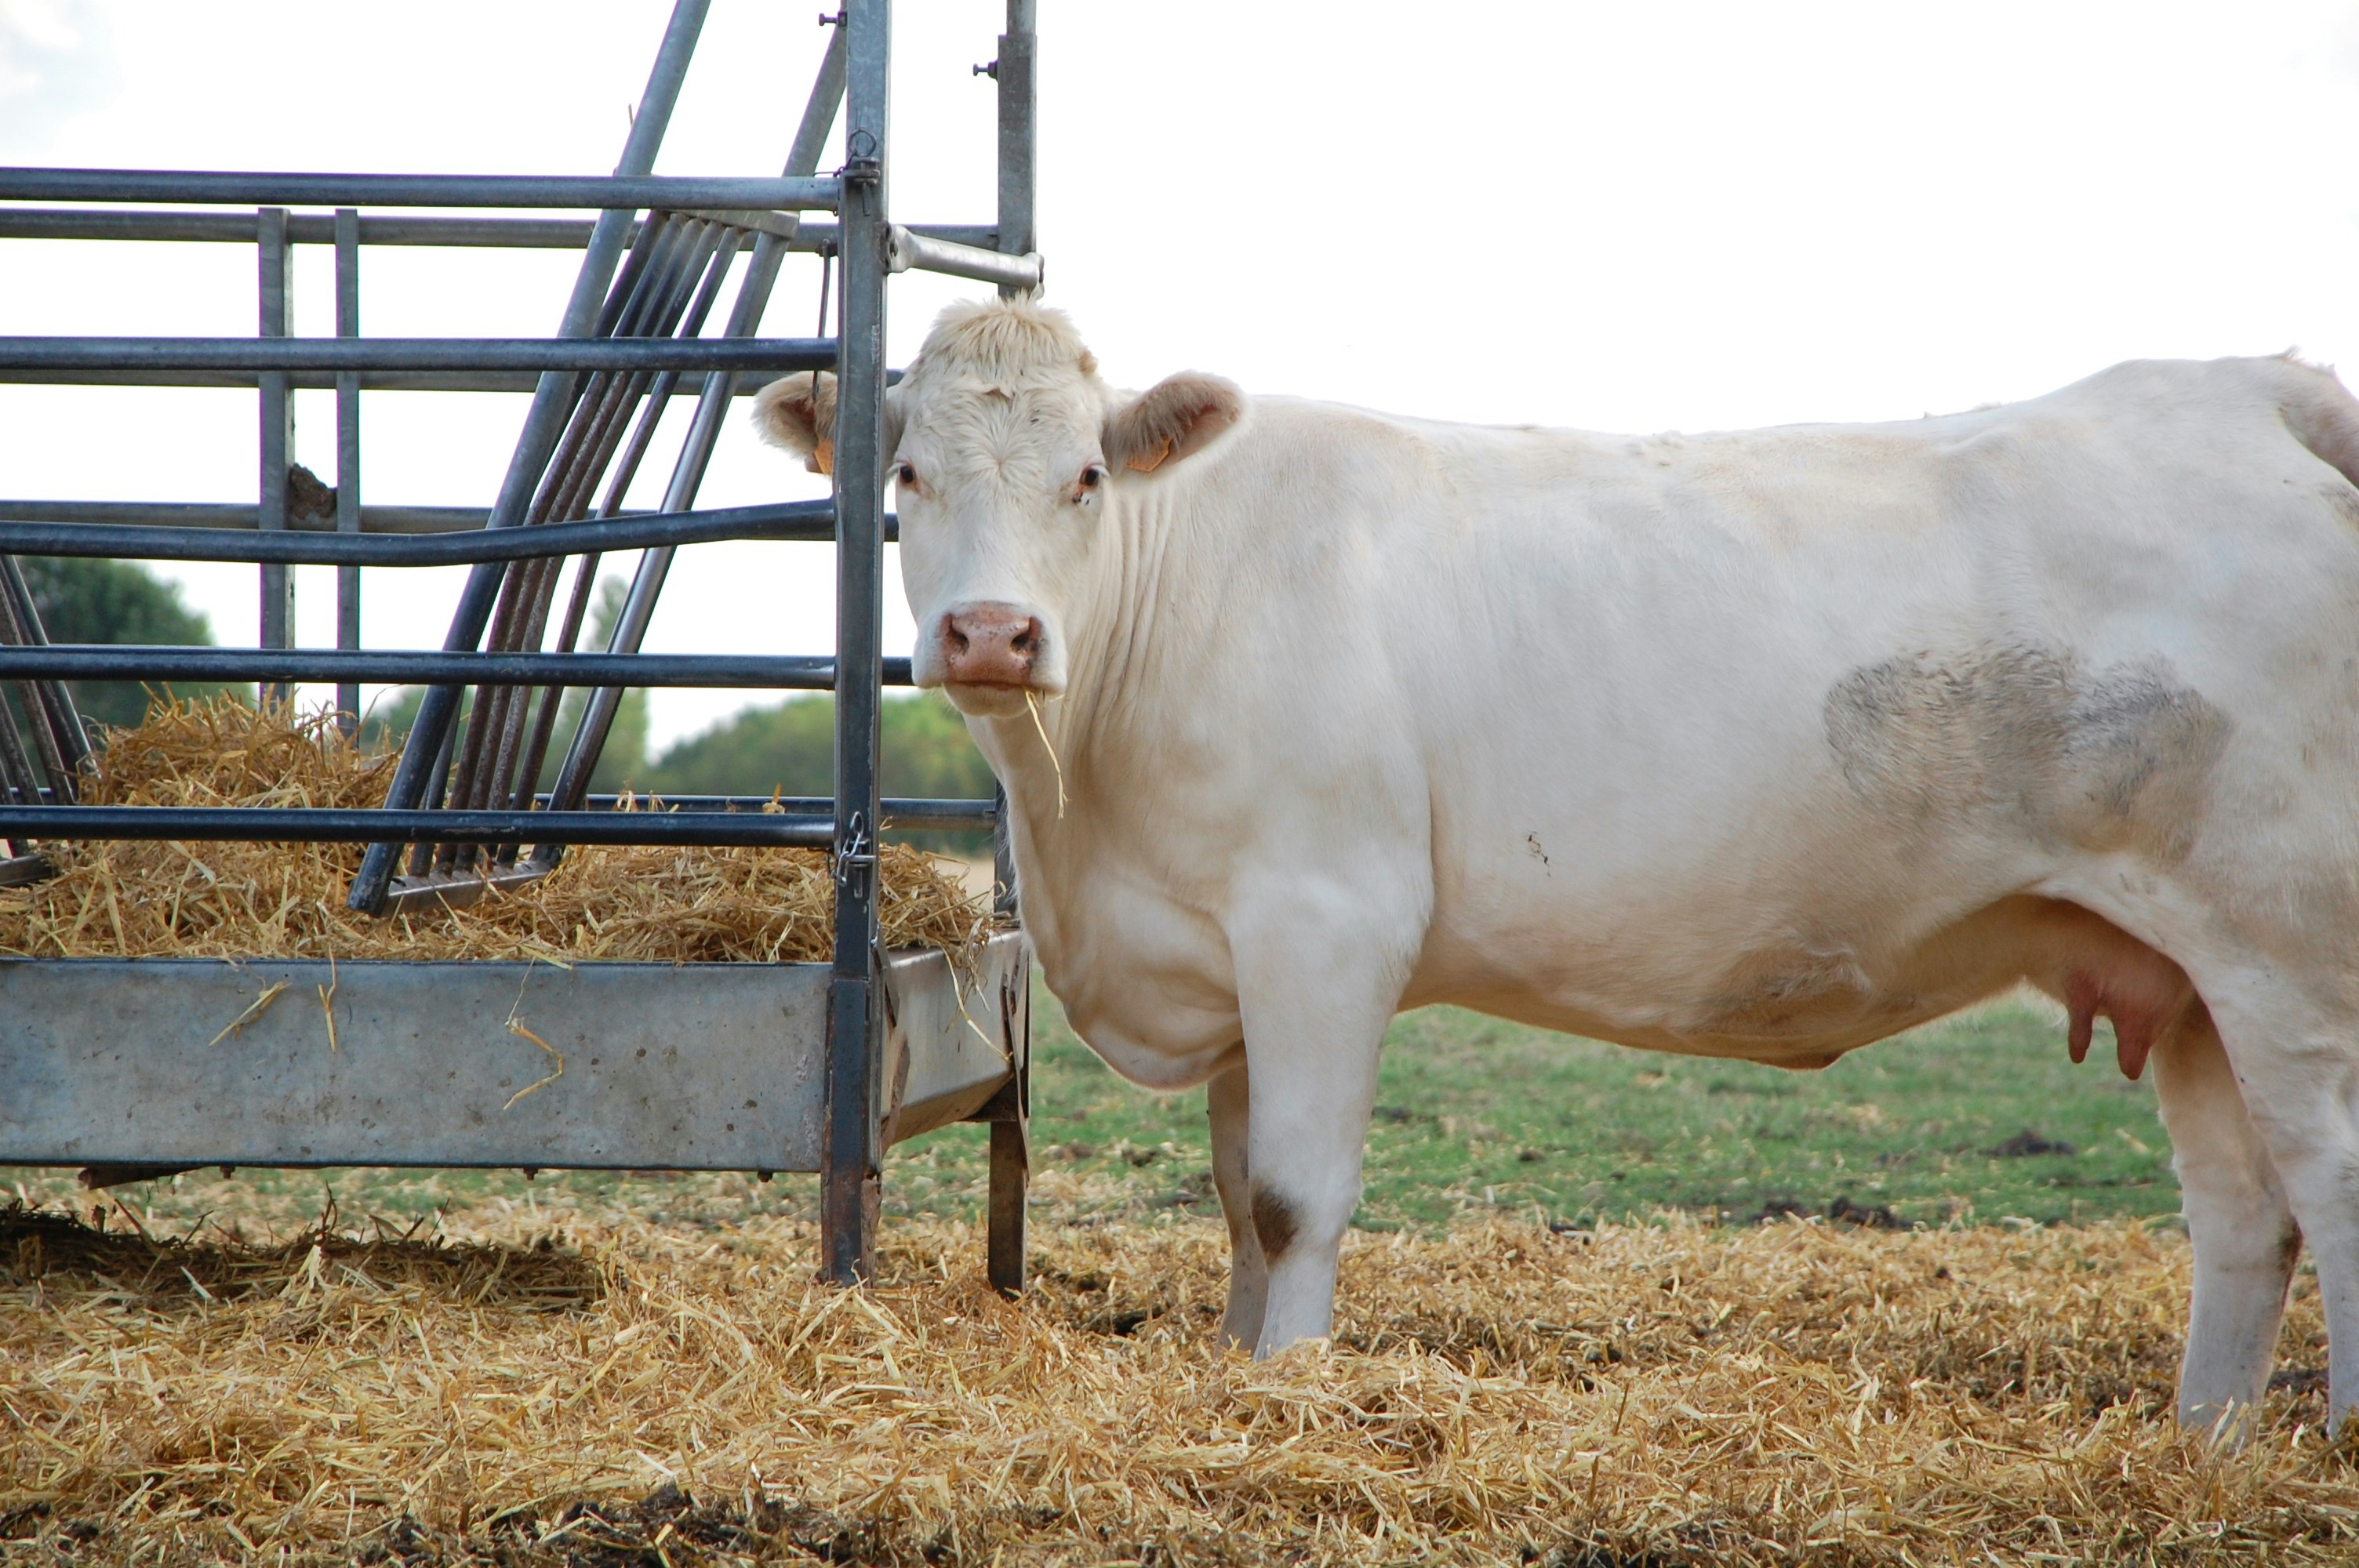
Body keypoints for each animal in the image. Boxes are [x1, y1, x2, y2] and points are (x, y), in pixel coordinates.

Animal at [756, 298, 2359, 1439]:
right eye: (905, 475)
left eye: (1087, 476)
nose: (989, 634)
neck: (1083, 813)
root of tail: (2244, 387)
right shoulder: (1231, 954)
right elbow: (1234, 1198)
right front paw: (1237, 1367)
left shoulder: (1325, 926)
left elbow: (1292, 1197)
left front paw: (1294, 1391)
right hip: (2183, 964)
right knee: (2241, 1211)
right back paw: (2200, 1447)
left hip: (2287, 946)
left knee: (2327, 1180)